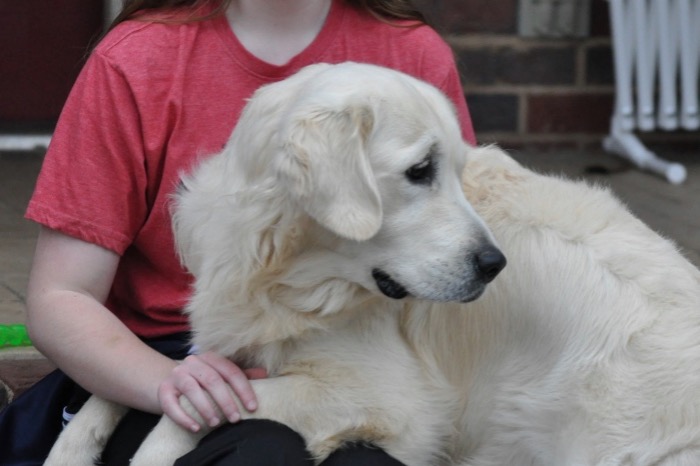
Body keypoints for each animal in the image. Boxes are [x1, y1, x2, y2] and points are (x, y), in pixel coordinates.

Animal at [45, 62, 700, 466]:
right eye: (420, 171)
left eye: (456, 171)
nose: (494, 265)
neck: (287, 273)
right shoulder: (224, 327)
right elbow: (155, 376)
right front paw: (72, 446)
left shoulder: (389, 401)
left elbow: (200, 412)